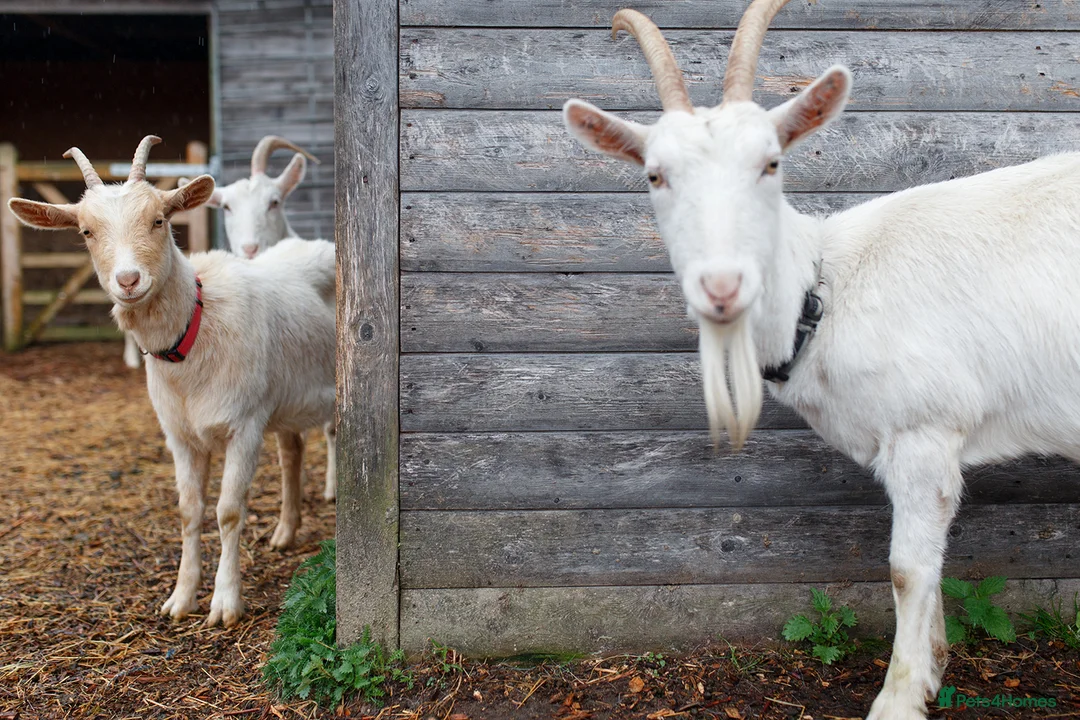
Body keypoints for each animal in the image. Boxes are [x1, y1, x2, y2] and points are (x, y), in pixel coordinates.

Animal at [562, 2, 1080, 717]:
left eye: (771, 163)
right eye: (655, 174)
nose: (722, 285)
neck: (827, 291)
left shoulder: (926, 429)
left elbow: (906, 570)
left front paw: (898, 698)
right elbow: (931, 565)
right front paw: (933, 670)